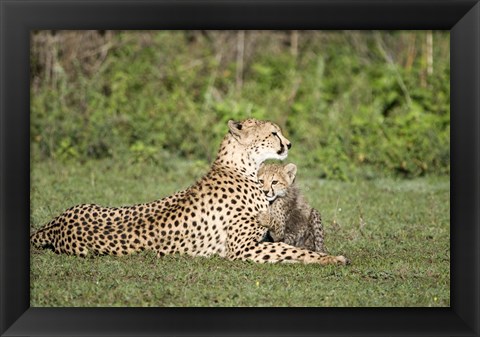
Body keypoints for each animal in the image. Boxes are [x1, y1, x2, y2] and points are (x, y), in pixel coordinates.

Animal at [30, 119, 346, 264]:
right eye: (273, 133)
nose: (289, 144)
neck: (240, 167)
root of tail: (56, 224)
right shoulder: (243, 248)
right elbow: (293, 250)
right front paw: (332, 258)